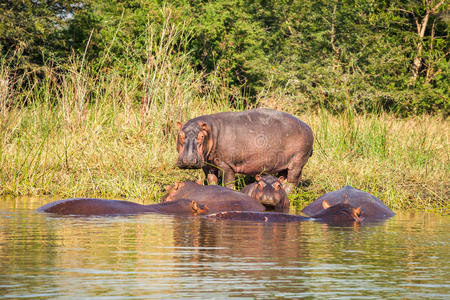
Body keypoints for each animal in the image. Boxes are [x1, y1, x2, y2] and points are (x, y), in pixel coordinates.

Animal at [176, 109, 312, 193]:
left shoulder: (226, 165)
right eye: (180, 134)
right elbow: (211, 181)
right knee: (284, 178)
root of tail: (308, 127)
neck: (211, 132)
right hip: (284, 164)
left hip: (297, 161)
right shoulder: (208, 165)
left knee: (293, 181)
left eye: (201, 136)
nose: (188, 160)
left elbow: (229, 183)